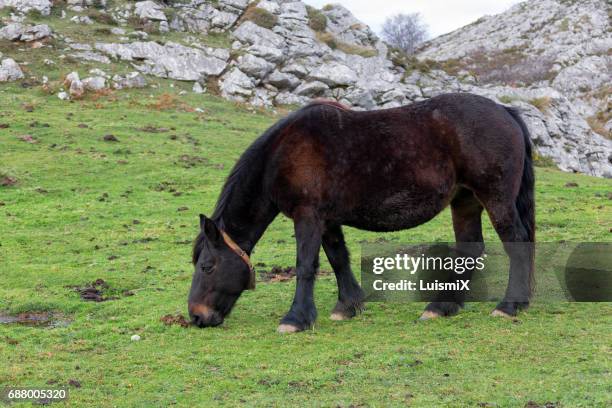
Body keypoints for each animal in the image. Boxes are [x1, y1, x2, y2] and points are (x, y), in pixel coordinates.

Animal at [189, 92, 532, 332]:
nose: (196, 316)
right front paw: (348, 306)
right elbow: (338, 258)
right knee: (469, 250)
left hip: (495, 198)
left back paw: (509, 306)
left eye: (207, 266)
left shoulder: (308, 216)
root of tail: (506, 111)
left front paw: (296, 318)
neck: (284, 153)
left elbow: (306, 265)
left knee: (517, 243)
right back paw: (442, 307)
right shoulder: (326, 220)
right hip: (464, 200)